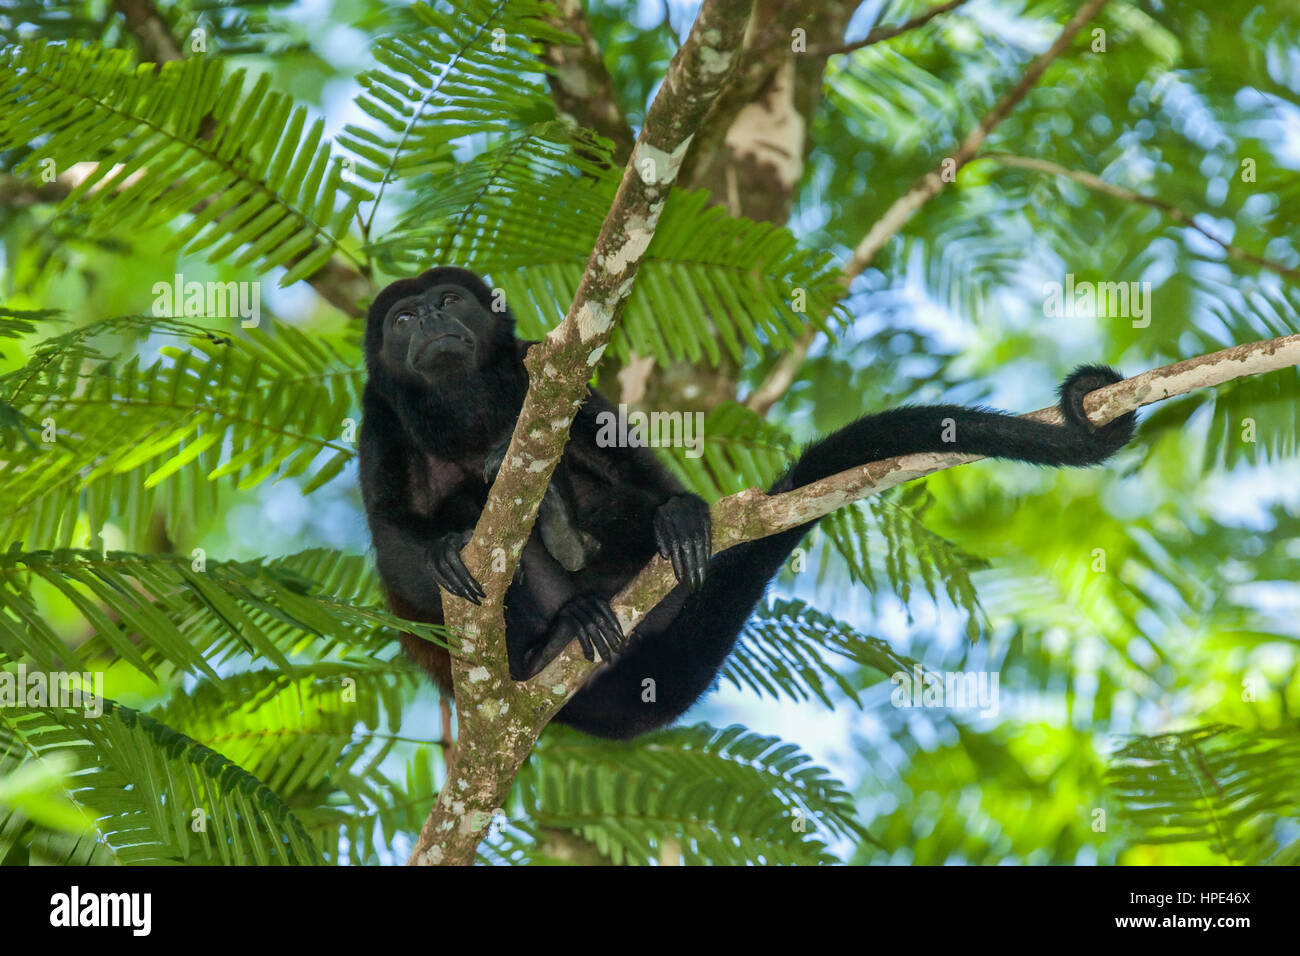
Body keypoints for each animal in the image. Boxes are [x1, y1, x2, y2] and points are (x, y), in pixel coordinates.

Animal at [358, 265, 1138, 743]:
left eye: (449, 302)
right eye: (402, 320)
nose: (430, 323)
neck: (470, 413)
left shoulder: (545, 374)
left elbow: (639, 470)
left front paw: (676, 515)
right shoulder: (378, 422)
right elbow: (398, 551)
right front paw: (442, 550)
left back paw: (570, 534)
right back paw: (548, 631)